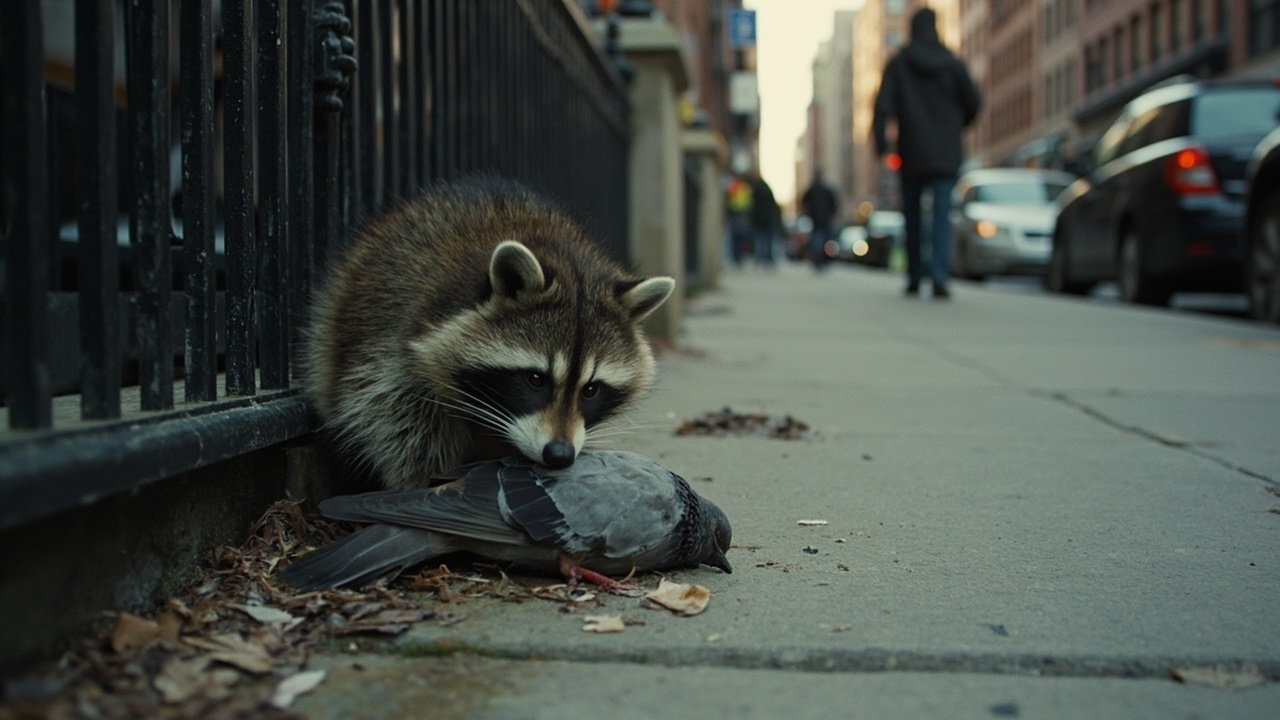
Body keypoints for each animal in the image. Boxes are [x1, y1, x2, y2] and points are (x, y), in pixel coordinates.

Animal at [306, 178, 674, 490]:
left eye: (592, 389)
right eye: (535, 379)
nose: (559, 455)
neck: (559, 252)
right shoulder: (390, 338)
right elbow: (394, 419)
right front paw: (421, 481)